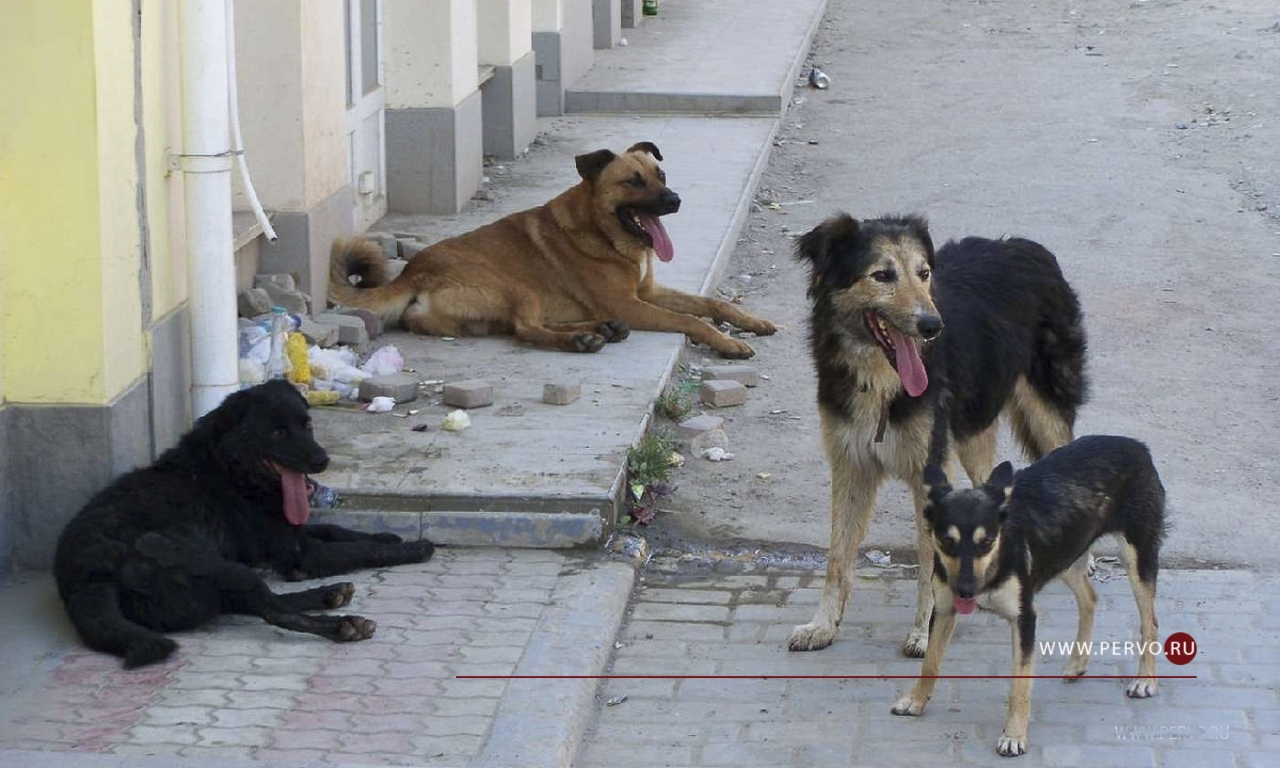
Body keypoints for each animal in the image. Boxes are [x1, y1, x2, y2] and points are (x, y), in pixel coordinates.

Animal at [53, 381, 435, 670]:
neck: (229, 469)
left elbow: (337, 531)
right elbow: (357, 549)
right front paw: (412, 548)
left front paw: (387, 535)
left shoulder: (286, 534)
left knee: (256, 602)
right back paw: (342, 624)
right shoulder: (300, 553)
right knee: (273, 611)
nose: (322, 460)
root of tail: (89, 577)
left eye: (307, 424)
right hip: (214, 566)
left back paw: (329, 594)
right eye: (278, 432)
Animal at [325, 140, 773, 355]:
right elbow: (692, 320)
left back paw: (599, 330)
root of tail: (412, 273)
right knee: (526, 328)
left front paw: (751, 321)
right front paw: (728, 342)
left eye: (660, 175)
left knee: (523, 326)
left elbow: (713, 304)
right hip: (515, 287)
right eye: (633, 181)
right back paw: (583, 340)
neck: (603, 233)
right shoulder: (632, 303)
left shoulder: (646, 293)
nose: (676, 200)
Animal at [783, 217, 1085, 660]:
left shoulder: (930, 468)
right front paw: (822, 625)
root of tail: (1025, 246)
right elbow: (837, 556)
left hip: (1046, 410)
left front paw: (925, 633)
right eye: (883, 275)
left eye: (924, 273)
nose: (932, 326)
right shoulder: (850, 464)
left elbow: (929, 562)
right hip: (973, 430)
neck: (881, 379)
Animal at [896, 435, 1167, 757]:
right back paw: (1078, 663)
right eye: (947, 542)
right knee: (1090, 598)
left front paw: (1014, 735)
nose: (965, 590)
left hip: (1136, 557)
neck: (996, 562)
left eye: (986, 542)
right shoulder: (945, 610)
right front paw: (915, 700)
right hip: (1064, 554)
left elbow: (1019, 684)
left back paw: (1145, 680)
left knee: (1149, 621)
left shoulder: (1025, 618)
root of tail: (1136, 445)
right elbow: (930, 663)